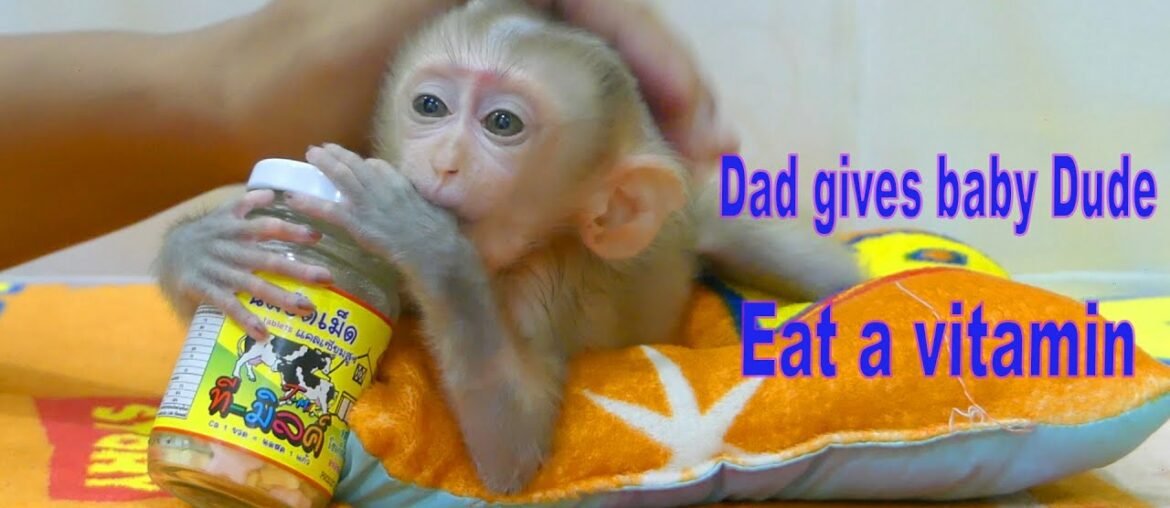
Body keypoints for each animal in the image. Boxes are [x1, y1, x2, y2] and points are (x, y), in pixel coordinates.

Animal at [154, 0, 861, 494]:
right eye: (430, 106)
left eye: (502, 123)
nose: (443, 160)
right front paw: (204, 249)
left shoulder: (543, 287)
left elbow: (513, 450)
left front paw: (425, 239)